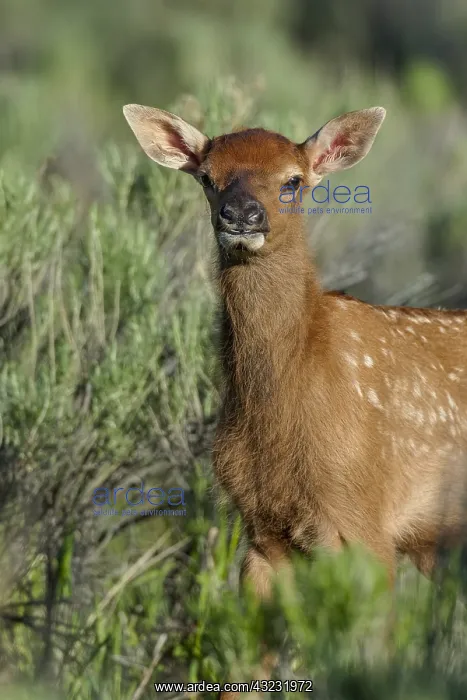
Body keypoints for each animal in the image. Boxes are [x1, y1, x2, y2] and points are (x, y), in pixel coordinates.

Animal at [123, 102, 467, 698]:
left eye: (293, 181)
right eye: (208, 178)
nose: (241, 214)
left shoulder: (366, 524)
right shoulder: (261, 533)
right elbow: (247, 668)